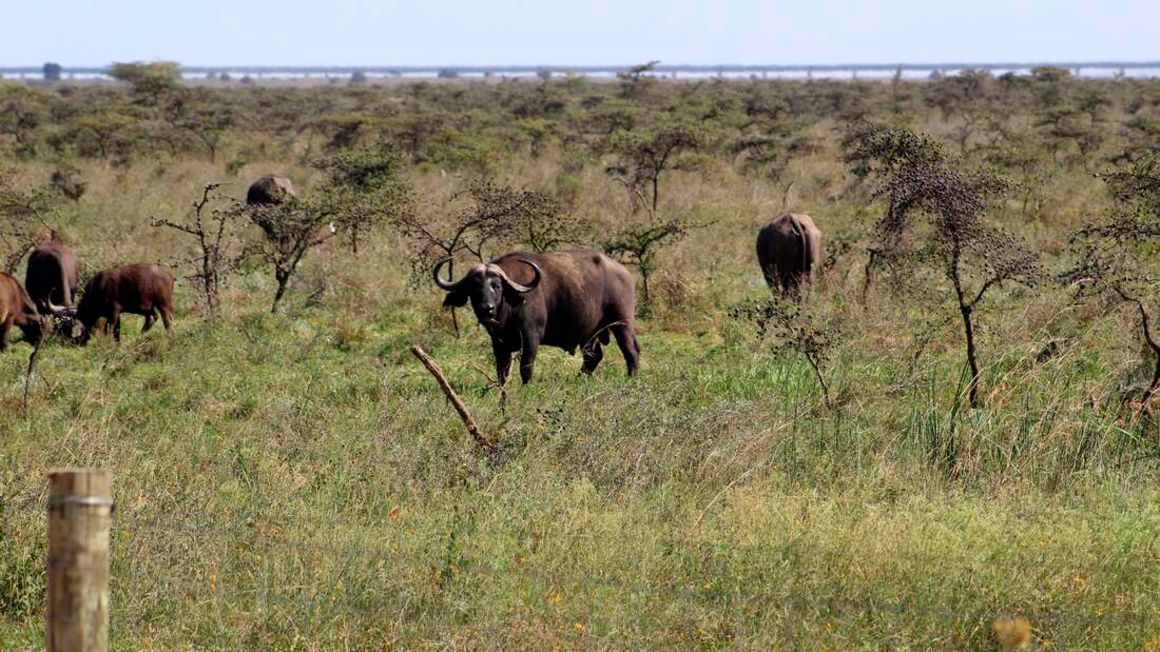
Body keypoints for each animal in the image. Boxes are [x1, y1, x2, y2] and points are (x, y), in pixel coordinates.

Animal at [433, 247, 640, 380]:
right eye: (474, 288)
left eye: (497, 286)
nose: (487, 308)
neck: (509, 308)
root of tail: (624, 272)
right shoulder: (499, 342)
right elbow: (501, 370)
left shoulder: (531, 336)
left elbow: (526, 367)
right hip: (590, 333)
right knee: (593, 357)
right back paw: (580, 380)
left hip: (622, 323)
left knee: (631, 352)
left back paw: (631, 380)